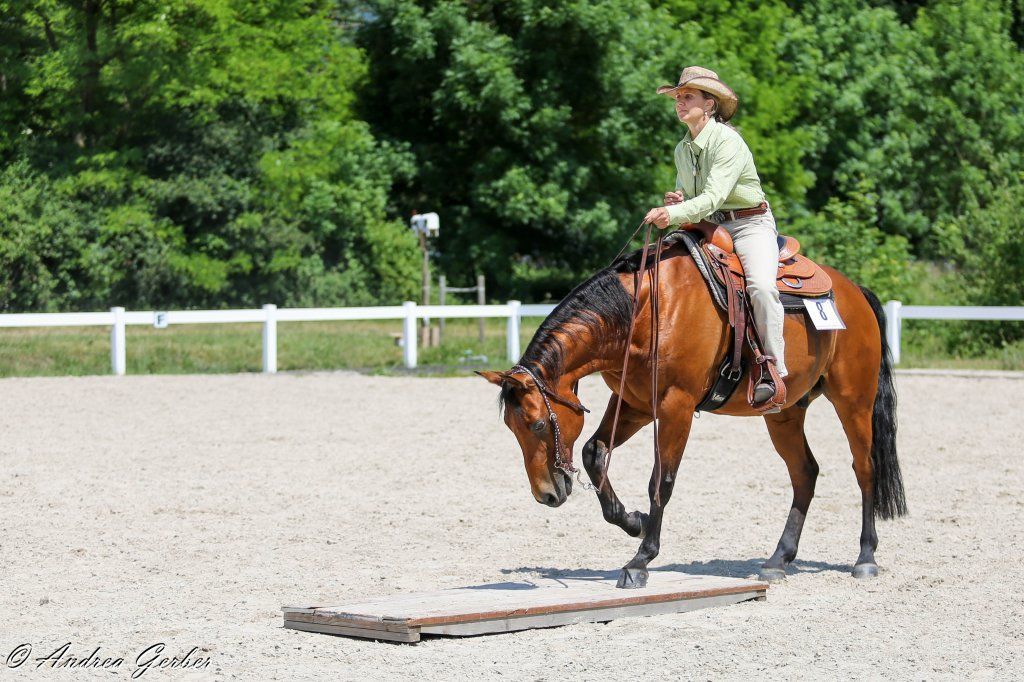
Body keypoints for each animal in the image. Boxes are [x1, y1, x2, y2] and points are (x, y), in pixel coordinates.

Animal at [478, 229, 907, 589]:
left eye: (536, 424)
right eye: (512, 429)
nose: (546, 495)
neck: (642, 311)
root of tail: (855, 292)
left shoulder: (676, 405)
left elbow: (661, 481)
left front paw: (640, 560)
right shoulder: (634, 403)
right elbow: (593, 453)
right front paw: (633, 521)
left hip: (853, 401)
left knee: (865, 468)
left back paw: (865, 557)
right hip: (784, 413)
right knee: (805, 473)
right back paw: (777, 560)